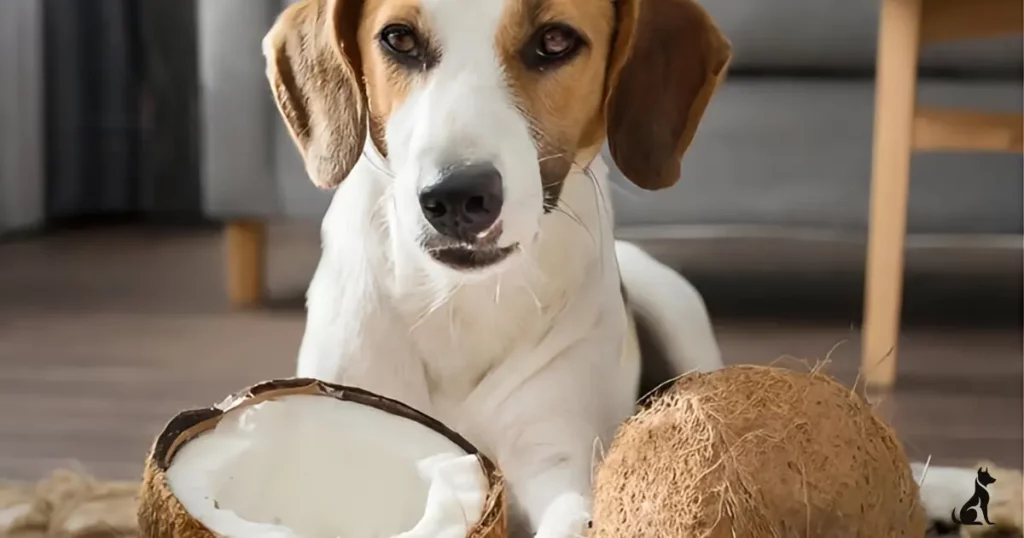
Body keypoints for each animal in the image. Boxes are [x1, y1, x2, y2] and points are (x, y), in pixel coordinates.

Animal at [264, 0, 966, 532]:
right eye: (399, 39)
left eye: (554, 40)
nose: (457, 197)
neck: (458, 302)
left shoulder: (555, 457)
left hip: (678, 312)